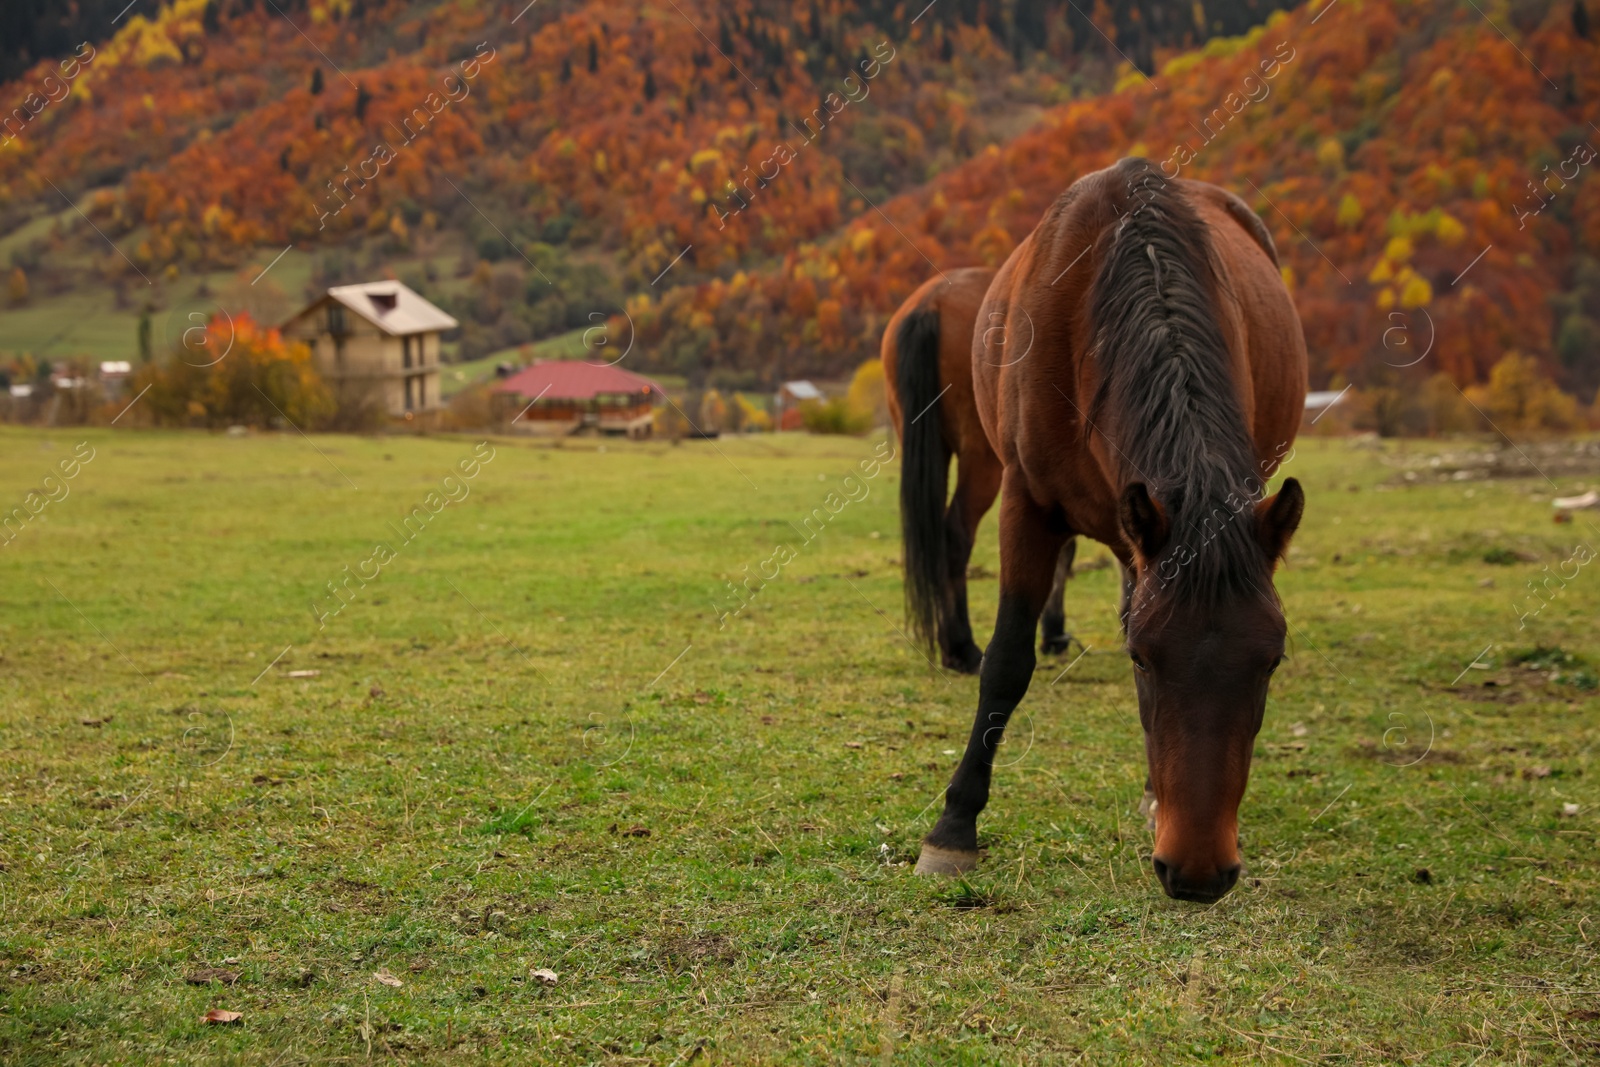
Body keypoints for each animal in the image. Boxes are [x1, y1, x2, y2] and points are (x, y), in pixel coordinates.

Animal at [921, 158, 1305, 908]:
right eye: (1143, 659)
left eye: (1271, 662)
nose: (1198, 871)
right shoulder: (1026, 503)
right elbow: (1006, 664)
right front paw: (954, 825)